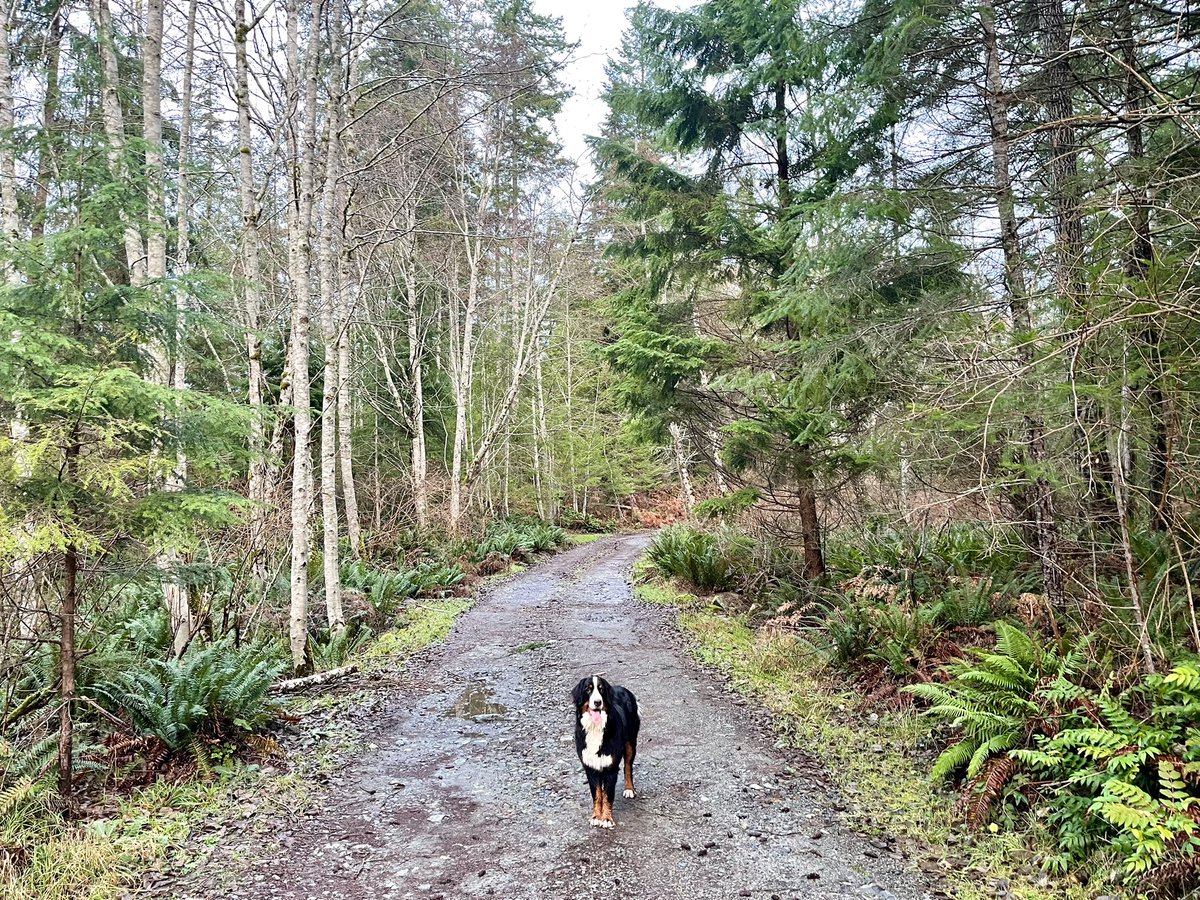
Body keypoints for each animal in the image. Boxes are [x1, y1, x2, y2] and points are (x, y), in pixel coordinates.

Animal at [568, 676, 638, 830]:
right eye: (588, 689)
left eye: (601, 690)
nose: (597, 702)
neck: (595, 728)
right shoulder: (590, 767)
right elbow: (597, 794)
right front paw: (596, 817)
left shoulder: (610, 767)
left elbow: (607, 795)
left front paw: (606, 819)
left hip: (630, 742)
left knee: (628, 766)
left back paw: (629, 789)